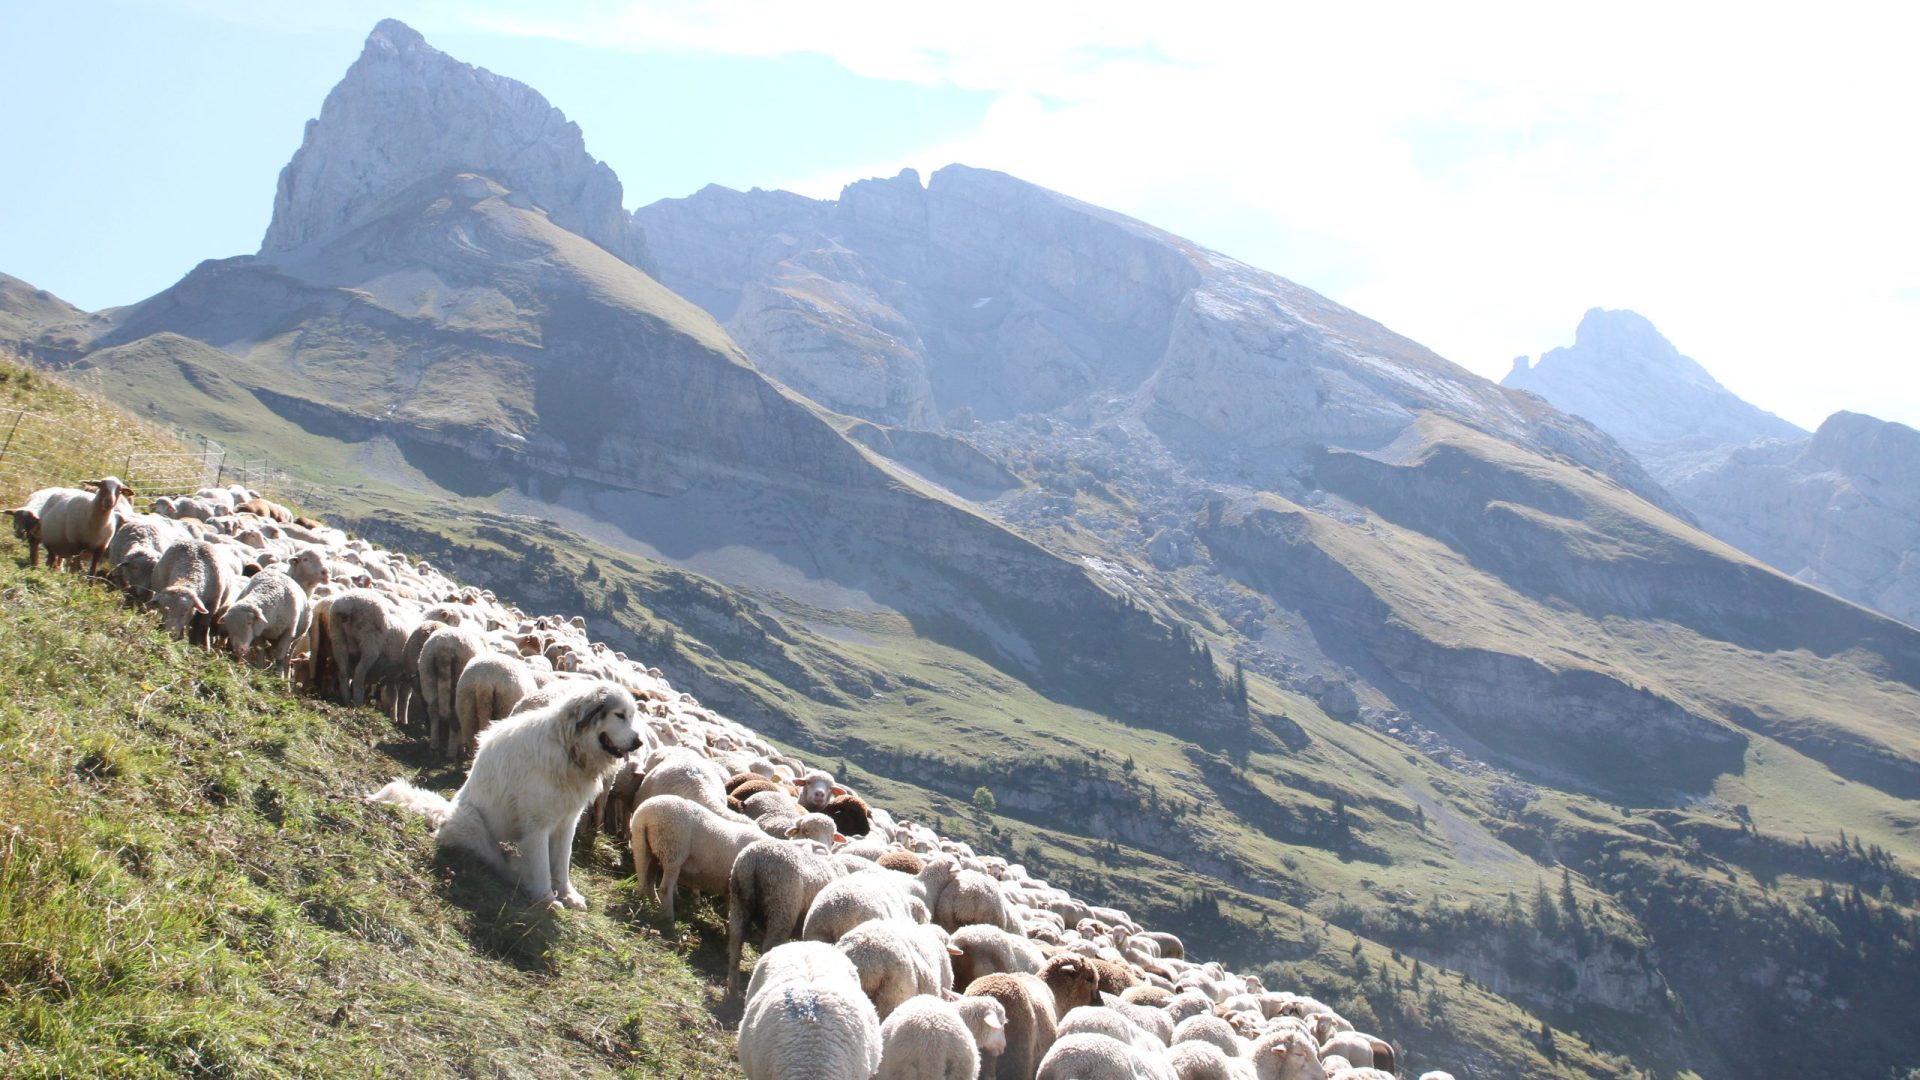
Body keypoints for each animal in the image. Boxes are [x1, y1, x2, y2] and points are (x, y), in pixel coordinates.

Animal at [370, 680, 648, 899]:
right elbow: (542, 866)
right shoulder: (538, 825)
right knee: (494, 859)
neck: (569, 749)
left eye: (632, 716)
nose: (639, 742)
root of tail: (446, 810)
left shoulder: (567, 821)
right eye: (619, 715)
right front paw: (547, 899)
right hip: (471, 820)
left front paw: (569, 895)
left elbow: (562, 862)